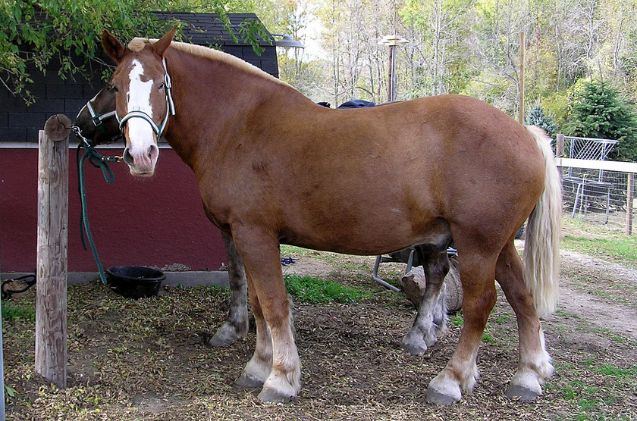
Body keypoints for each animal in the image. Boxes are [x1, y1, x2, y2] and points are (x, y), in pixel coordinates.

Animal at [100, 28, 560, 404]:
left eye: (159, 84)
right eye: (116, 85)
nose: (140, 155)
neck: (239, 124)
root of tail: (526, 133)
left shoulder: (254, 233)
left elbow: (273, 304)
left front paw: (280, 378)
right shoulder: (243, 236)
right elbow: (255, 301)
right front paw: (258, 366)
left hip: (478, 243)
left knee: (482, 305)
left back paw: (450, 381)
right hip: (499, 244)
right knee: (522, 297)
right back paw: (528, 376)